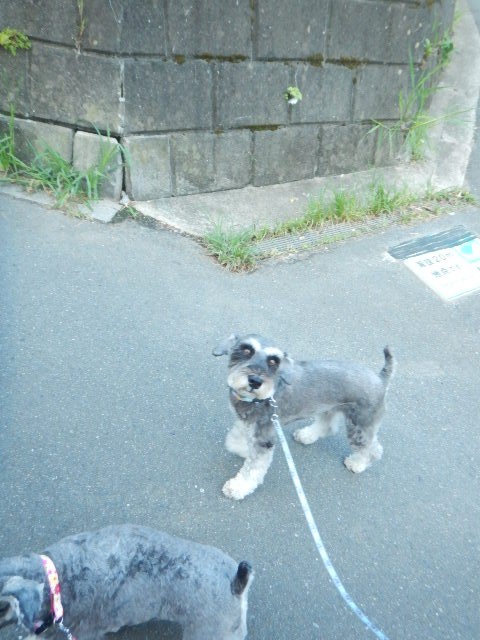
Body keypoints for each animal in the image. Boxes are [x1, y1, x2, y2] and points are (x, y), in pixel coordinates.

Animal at [213, 333, 395, 500]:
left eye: (273, 362)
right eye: (246, 350)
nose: (255, 381)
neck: (257, 399)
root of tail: (380, 379)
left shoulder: (264, 437)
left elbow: (253, 468)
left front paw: (237, 487)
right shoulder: (248, 422)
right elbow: (234, 440)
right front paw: (243, 450)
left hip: (360, 424)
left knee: (373, 449)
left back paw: (357, 463)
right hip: (330, 408)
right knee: (328, 426)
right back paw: (306, 435)